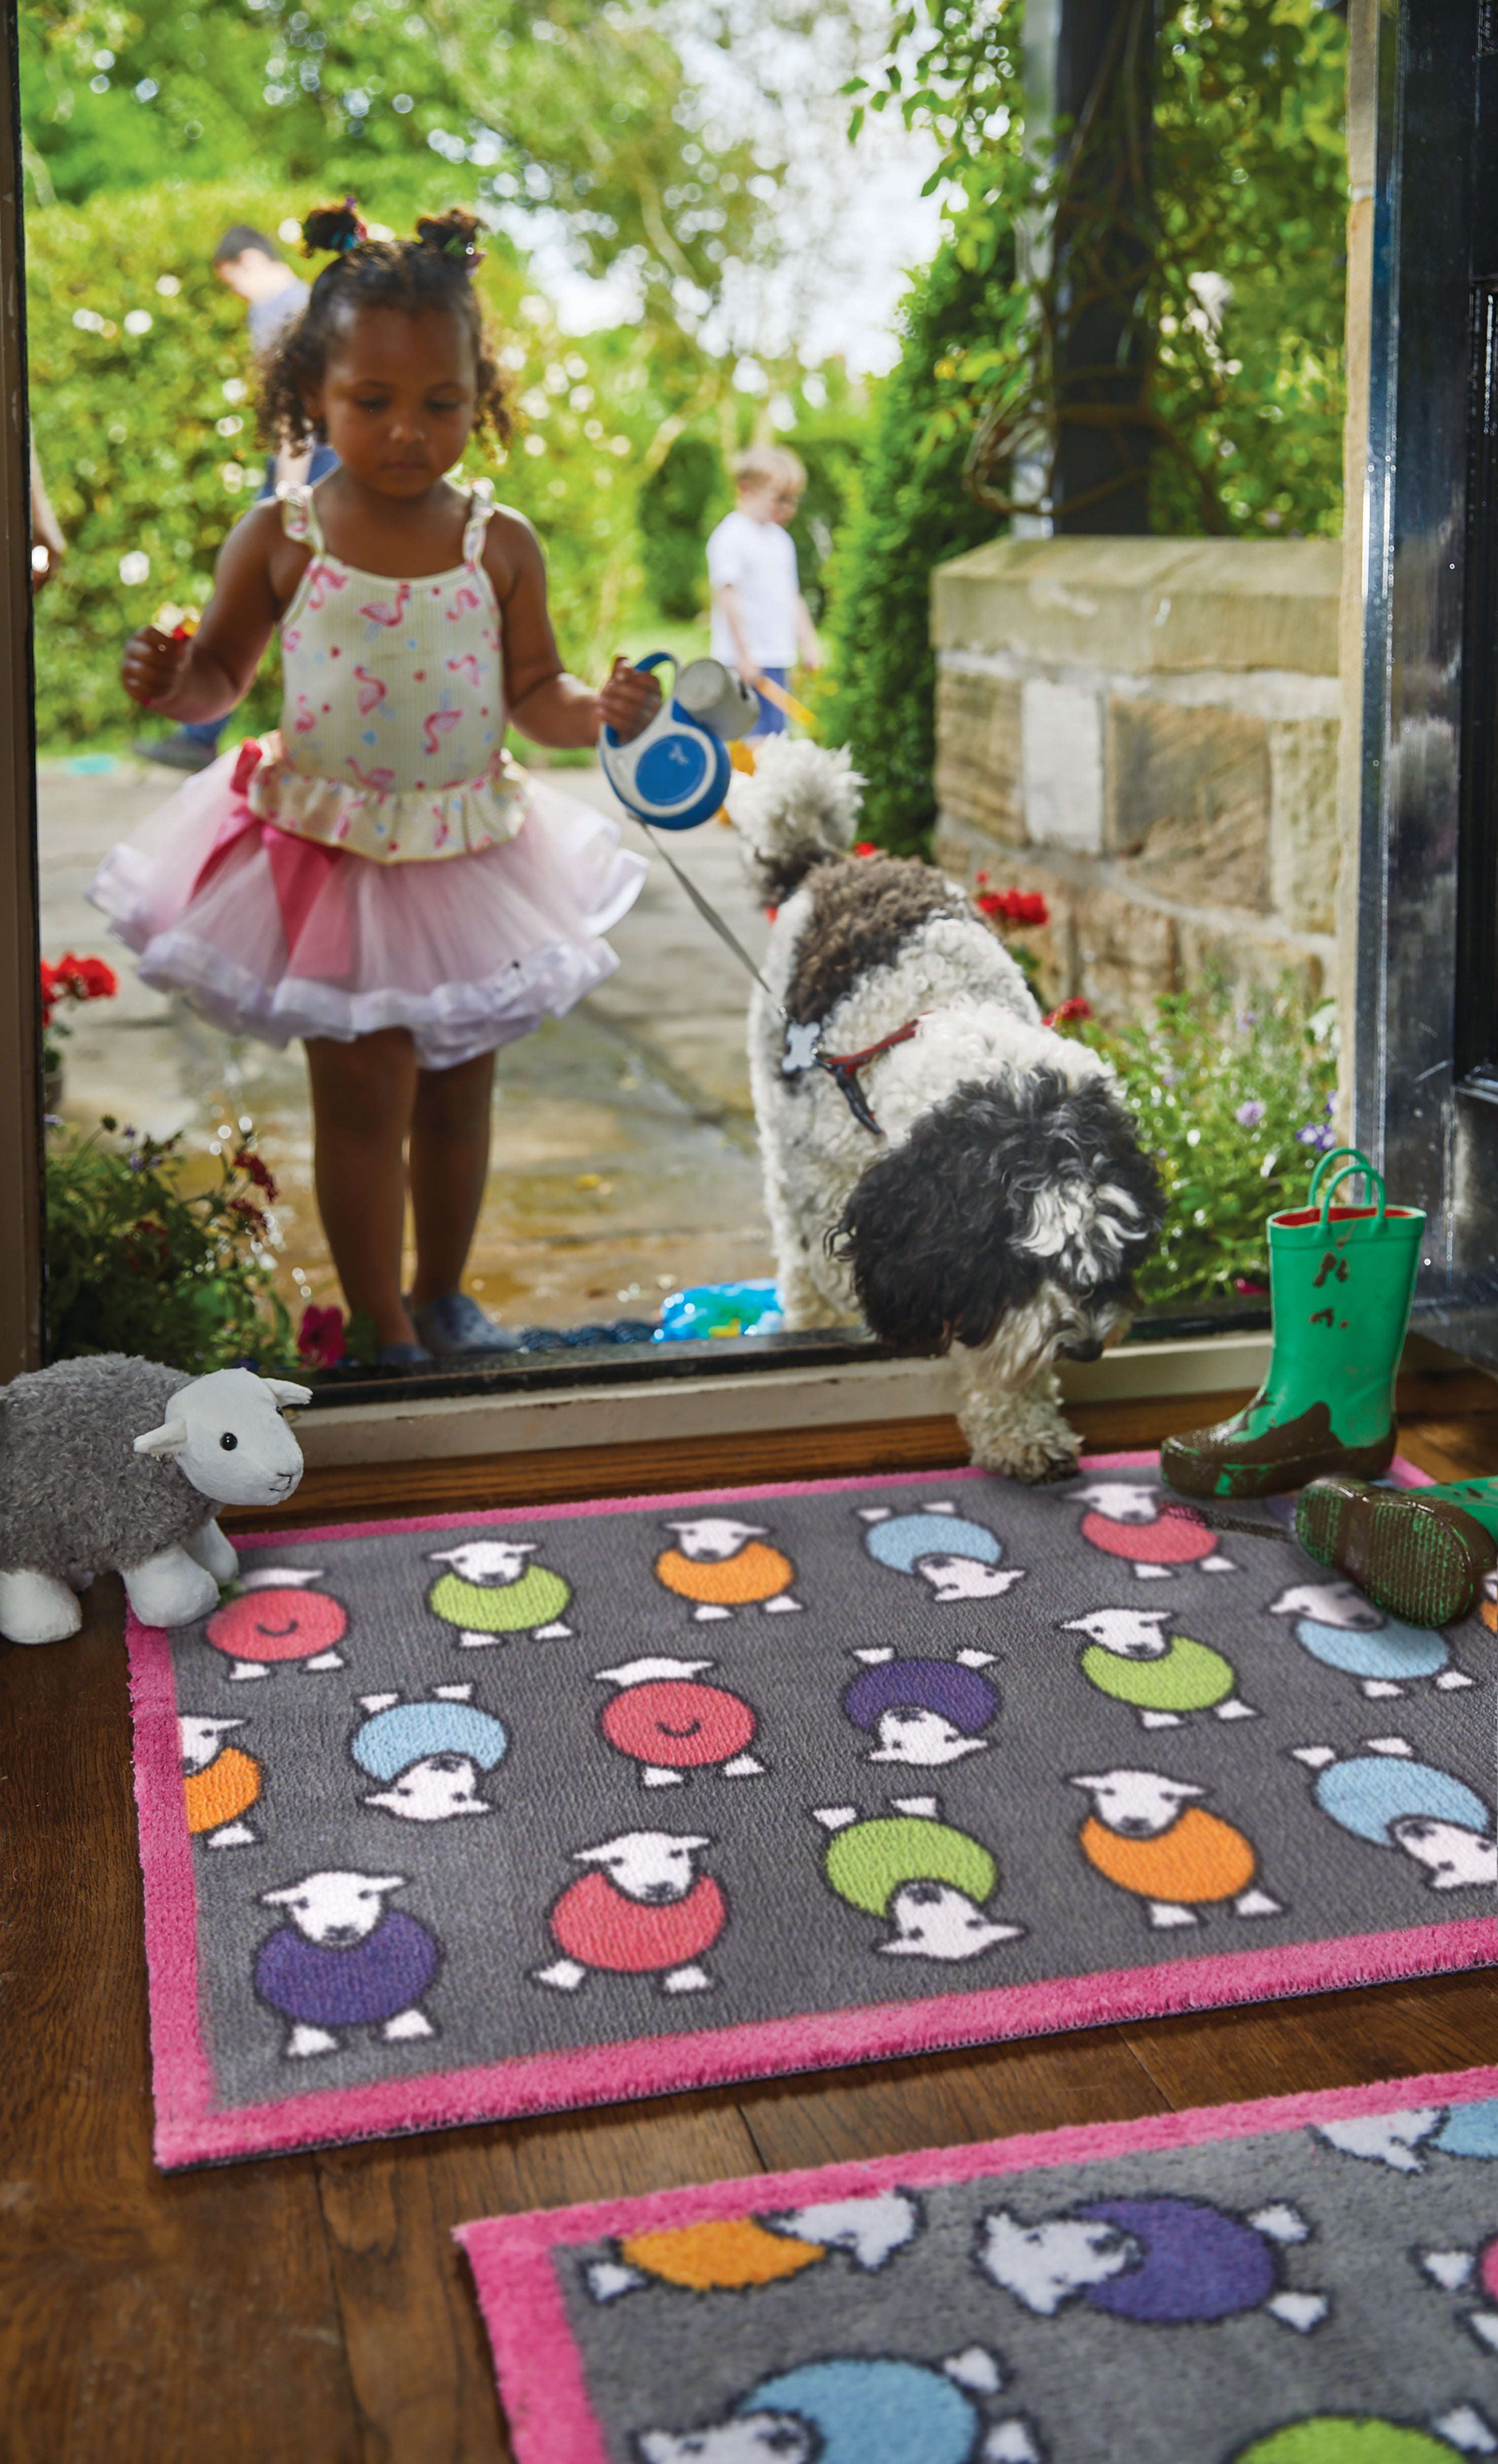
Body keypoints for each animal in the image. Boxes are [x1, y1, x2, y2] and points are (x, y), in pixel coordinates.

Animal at [729, 734, 1163, 1478]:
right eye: (1021, 1264)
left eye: (1107, 1247)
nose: (1086, 1346)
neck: (947, 1014)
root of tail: (830, 862)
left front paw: (1021, 1427)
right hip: (778, 1121)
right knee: (793, 1248)